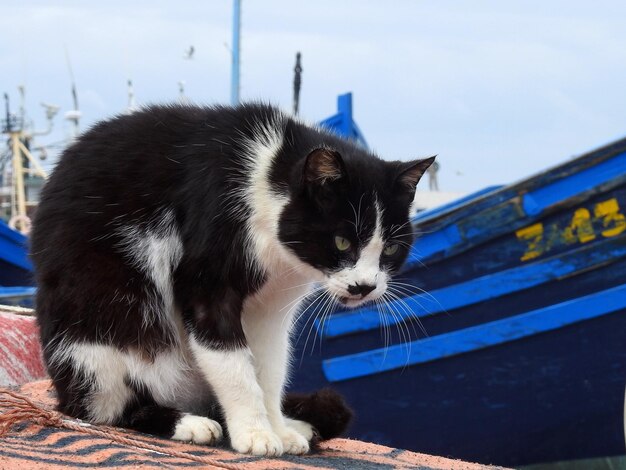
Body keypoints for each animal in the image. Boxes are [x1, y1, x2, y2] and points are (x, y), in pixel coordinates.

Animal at [30, 103, 434, 456]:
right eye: (342, 242)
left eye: (391, 249)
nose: (364, 287)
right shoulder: (207, 286)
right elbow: (236, 369)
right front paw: (255, 433)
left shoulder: (272, 307)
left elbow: (270, 370)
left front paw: (277, 429)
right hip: (95, 330)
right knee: (104, 408)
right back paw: (189, 423)